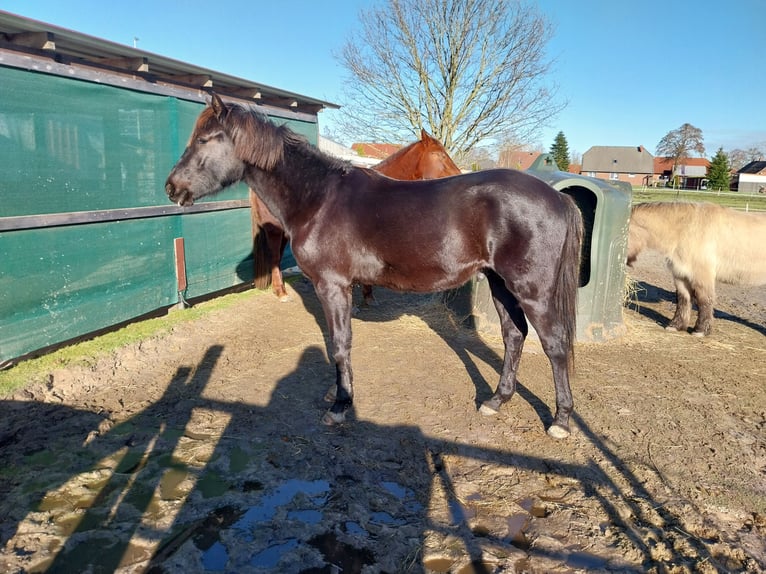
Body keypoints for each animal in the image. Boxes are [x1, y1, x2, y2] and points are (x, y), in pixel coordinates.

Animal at [254, 128, 462, 304]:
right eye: (439, 154)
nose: (459, 174)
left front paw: (367, 293)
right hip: (275, 231)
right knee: (274, 256)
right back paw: (281, 292)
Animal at [632, 202, 766, 338]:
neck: (686, 229)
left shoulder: (702, 275)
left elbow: (704, 300)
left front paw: (700, 330)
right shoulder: (681, 275)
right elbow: (683, 299)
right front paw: (676, 325)